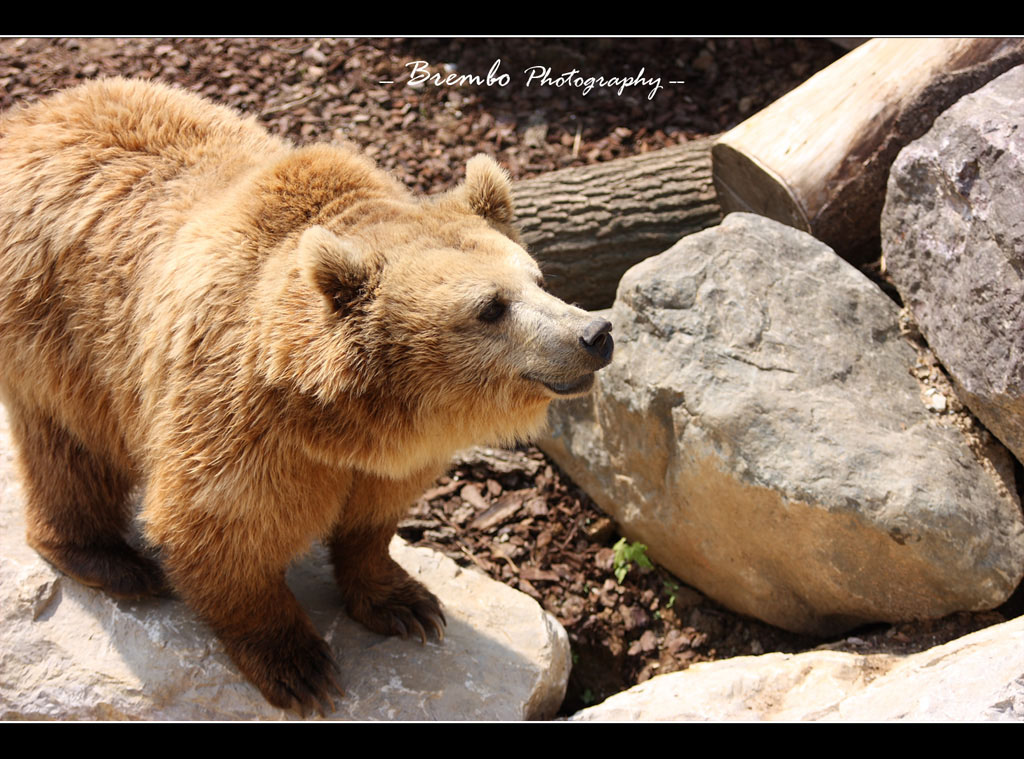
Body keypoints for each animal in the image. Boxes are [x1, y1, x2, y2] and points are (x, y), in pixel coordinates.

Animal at [0, 77, 613, 715]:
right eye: (491, 307)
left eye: (538, 279)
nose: (595, 333)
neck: (341, 418)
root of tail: (35, 116)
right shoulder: (237, 423)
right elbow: (217, 529)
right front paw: (300, 666)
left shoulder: (384, 456)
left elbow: (373, 518)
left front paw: (407, 603)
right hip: (61, 333)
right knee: (68, 448)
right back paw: (112, 563)